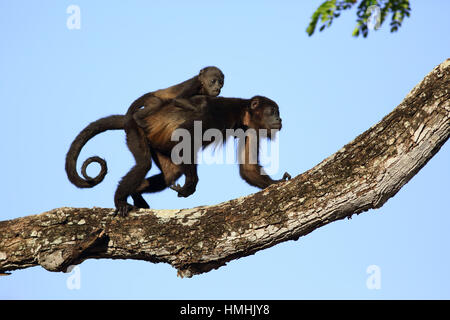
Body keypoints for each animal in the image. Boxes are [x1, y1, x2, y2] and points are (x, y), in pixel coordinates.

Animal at [67, 94, 292, 216]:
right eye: (273, 111)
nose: (280, 119)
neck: (243, 112)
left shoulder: (251, 129)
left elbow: (248, 168)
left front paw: (276, 183)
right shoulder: (218, 112)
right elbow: (185, 136)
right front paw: (191, 183)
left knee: (171, 173)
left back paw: (137, 193)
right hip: (135, 131)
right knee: (143, 164)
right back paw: (120, 200)